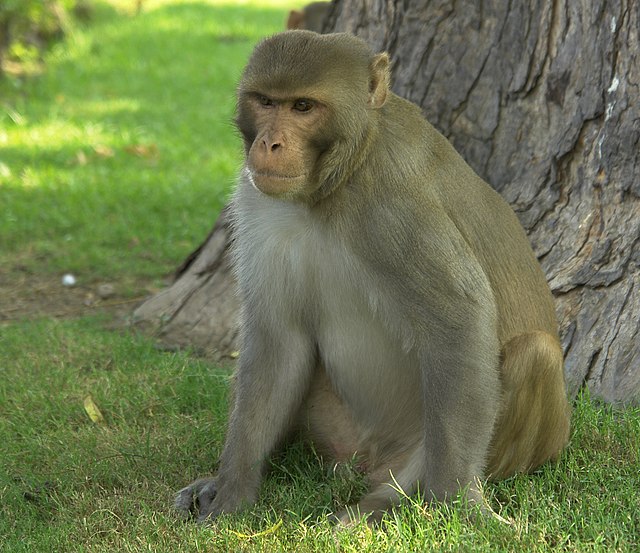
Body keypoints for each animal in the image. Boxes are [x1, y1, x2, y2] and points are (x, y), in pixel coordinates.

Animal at [175, 30, 568, 520]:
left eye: (303, 107)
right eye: (265, 101)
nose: (269, 144)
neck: (333, 185)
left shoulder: (391, 203)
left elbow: (460, 320)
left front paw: (459, 504)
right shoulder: (257, 200)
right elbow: (279, 339)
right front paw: (231, 493)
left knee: (535, 352)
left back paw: (384, 503)